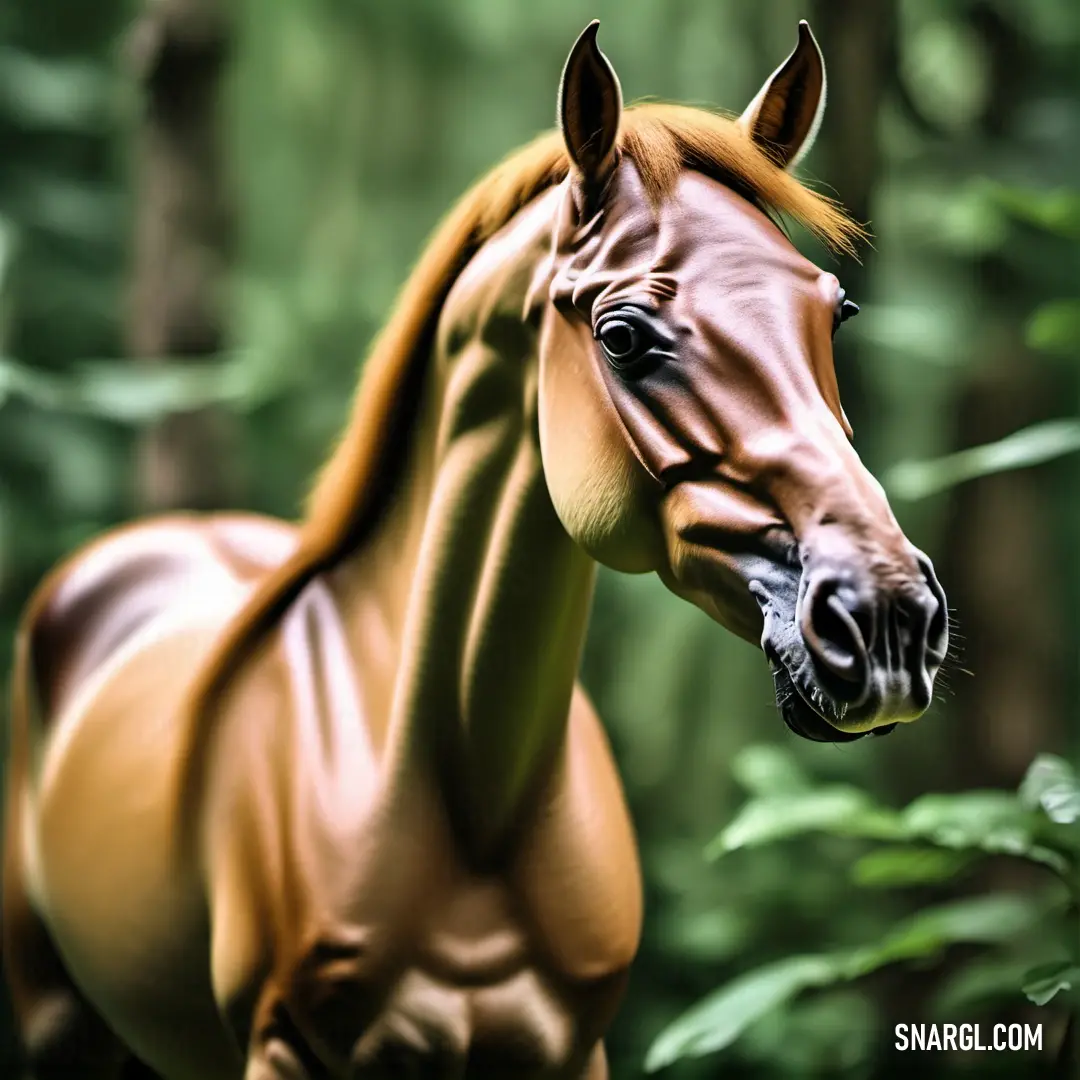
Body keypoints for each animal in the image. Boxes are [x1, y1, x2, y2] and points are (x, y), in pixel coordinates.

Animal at [0, 19, 946, 1080]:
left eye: (836, 312)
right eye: (623, 335)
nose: (888, 618)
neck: (473, 811)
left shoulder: (572, 1051)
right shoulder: (282, 1049)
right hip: (56, 1027)